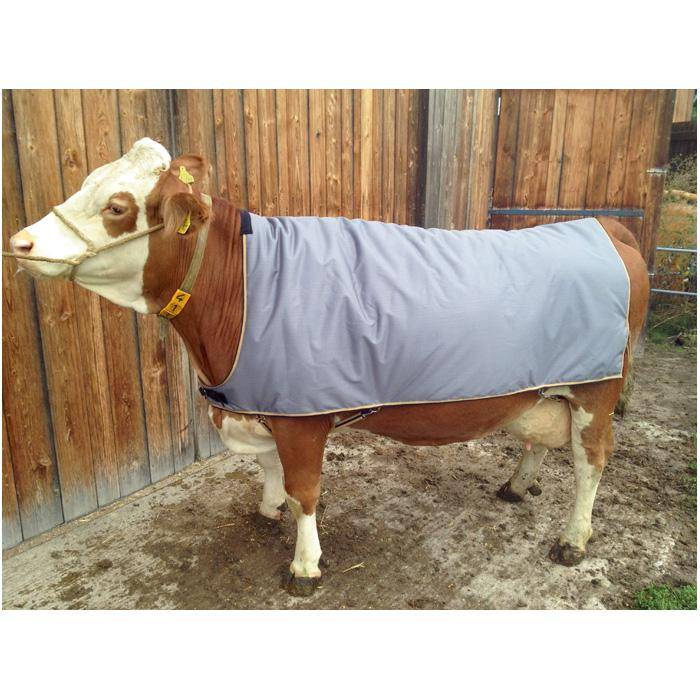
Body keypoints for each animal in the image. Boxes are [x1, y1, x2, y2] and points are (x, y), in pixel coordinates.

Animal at [7, 137, 649, 597]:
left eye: (116, 207)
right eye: (85, 182)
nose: (21, 243)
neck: (242, 288)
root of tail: (603, 225)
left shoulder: (301, 416)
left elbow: (305, 492)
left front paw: (305, 566)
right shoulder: (264, 400)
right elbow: (270, 473)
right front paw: (266, 509)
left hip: (597, 389)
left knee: (592, 460)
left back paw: (573, 539)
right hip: (544, 382)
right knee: (538, 435)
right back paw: (518, 485)